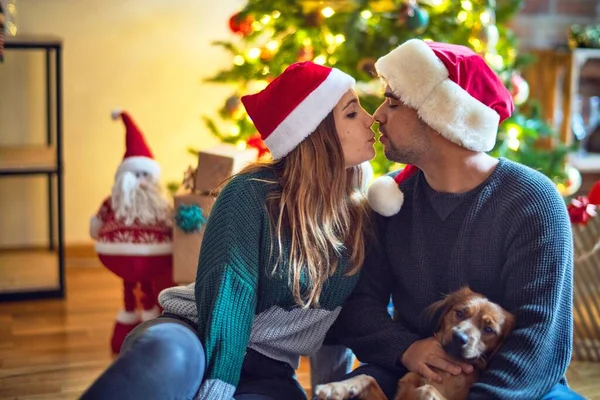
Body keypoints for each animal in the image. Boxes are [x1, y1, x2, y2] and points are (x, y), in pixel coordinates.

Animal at [314, 288, 516, 400]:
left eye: (488, 330)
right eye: (459, 313)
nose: (459, 337)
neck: (444, 373)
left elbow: (426, 389)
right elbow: (367, 378)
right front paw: (336, 388)